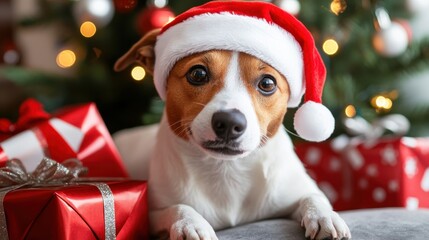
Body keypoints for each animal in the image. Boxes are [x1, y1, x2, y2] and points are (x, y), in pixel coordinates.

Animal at [114, 0, 352, 239]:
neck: (226, 171)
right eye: (198, 74)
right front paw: (191, 224)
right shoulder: (150, 215)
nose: (229, 122)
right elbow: (178, 208)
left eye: (267, 83)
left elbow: (314, 197)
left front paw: (324, 216)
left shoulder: (297, 191)